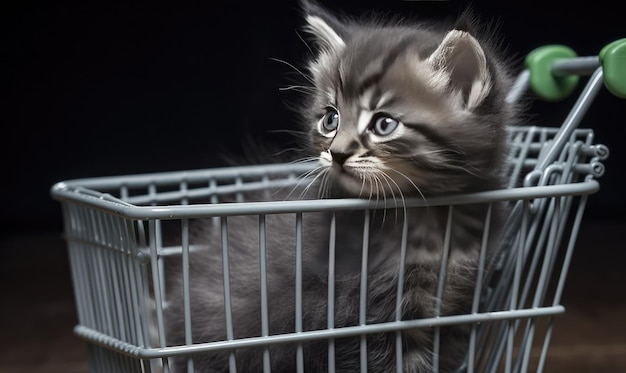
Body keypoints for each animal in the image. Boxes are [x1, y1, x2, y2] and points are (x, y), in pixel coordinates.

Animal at [165, 1, 516, 370]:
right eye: (330, 119)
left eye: (383, 124)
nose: (337, 153)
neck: (433, 215)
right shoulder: (369, 313)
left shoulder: (456, 304)